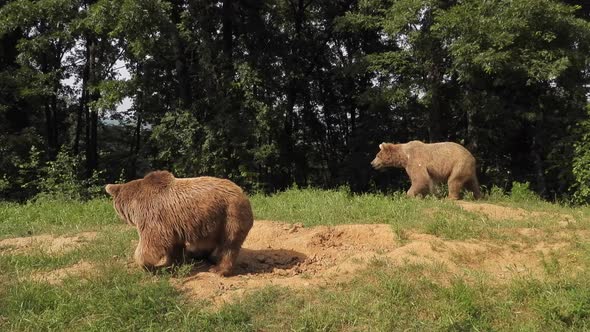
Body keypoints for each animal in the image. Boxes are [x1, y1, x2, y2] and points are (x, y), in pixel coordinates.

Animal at [105, 170, 253, 276]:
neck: (134, 205)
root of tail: (243, 194)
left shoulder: (152, 215)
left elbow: (152, 242)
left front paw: (146, 264)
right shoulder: (172, 224)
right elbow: (173, 245)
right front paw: (172, 263)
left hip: (230, 215)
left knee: (229, 244)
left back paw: (218, 269)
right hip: (213, 221)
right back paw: (196, 254)